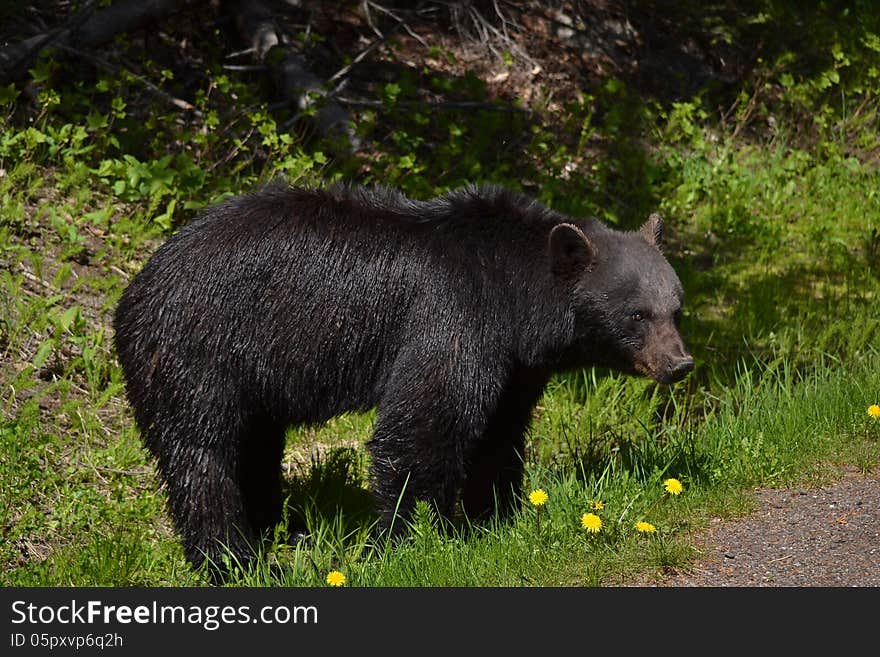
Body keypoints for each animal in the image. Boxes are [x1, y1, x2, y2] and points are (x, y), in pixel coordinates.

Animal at [113, 179, 692, 576]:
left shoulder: (515, 363)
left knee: (255, 447)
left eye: (676, 309)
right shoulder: (452, 316)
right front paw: (404, 541)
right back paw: (234, 561)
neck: (514, 296)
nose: (679, 364)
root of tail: (133, 291)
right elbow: (425, 426)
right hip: (198, 353)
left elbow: (500, 432)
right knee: (204, 455)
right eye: (636, 314)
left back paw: (275, 531)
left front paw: (495, 519)